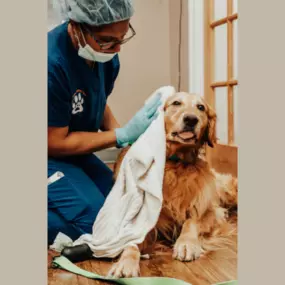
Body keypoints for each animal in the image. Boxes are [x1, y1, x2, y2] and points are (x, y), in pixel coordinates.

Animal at [107, 92, 236, 276]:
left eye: (201, 107)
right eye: (176, 103)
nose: (191, 119)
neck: (175, 163)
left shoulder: (210, 211)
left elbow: (192, 221)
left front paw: (186, 243)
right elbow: (131, 243)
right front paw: (125, 262)